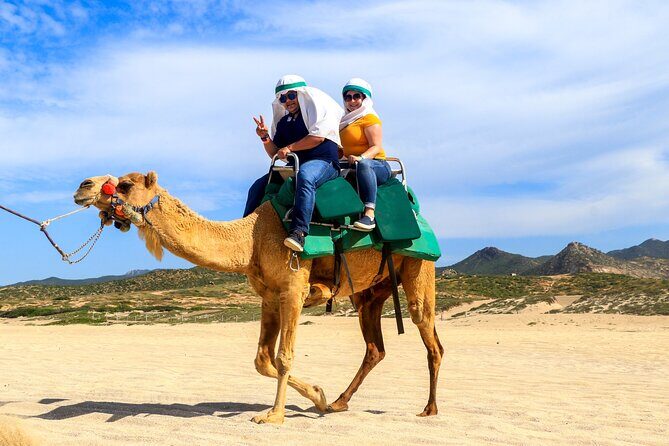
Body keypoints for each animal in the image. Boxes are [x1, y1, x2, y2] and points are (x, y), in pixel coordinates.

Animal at [72, 172, 444, 425]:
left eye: (123, 184)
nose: (83, 186)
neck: (252, 238)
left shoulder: (293, 290)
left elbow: (284, 356)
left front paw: (274, 416)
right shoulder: (269, 297)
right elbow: (263, 359)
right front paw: (319, 396)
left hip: (419, 267)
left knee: (428, 334)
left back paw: (428, 408)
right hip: (368, 293)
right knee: (374, 348)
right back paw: (339, 402)